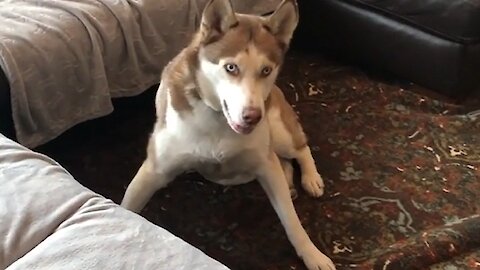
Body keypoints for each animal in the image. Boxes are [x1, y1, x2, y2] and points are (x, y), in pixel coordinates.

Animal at [122, 1, 336, 268]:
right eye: (231, 67)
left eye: (266, 70)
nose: (253, 116)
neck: (217, 121)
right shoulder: (155, 168)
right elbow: (127, 207)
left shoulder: (265, 163)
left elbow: (292, 221)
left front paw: (312, 254)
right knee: (284, 161)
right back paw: (290, 183)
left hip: (278, 129)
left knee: (300, 148)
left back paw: (310, 178)